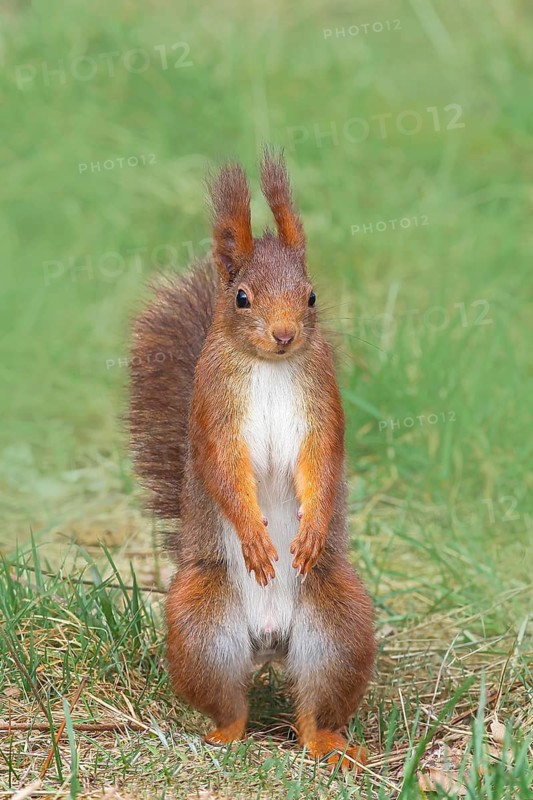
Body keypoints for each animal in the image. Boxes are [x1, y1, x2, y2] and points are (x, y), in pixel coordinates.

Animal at [128, 150, 376, 770]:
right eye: (241, 297)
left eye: (310, 295)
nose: (285, 334)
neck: (269, 367)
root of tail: (269, 643)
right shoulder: (214, 414)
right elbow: (223, 471)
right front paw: (256, 538)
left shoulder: (322, 409)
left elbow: (322, 464)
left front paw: (309, 532)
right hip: (200, 624)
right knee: (229, 701)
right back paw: (223, 733)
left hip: (339, 625)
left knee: (314, 707)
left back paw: (329, 744)